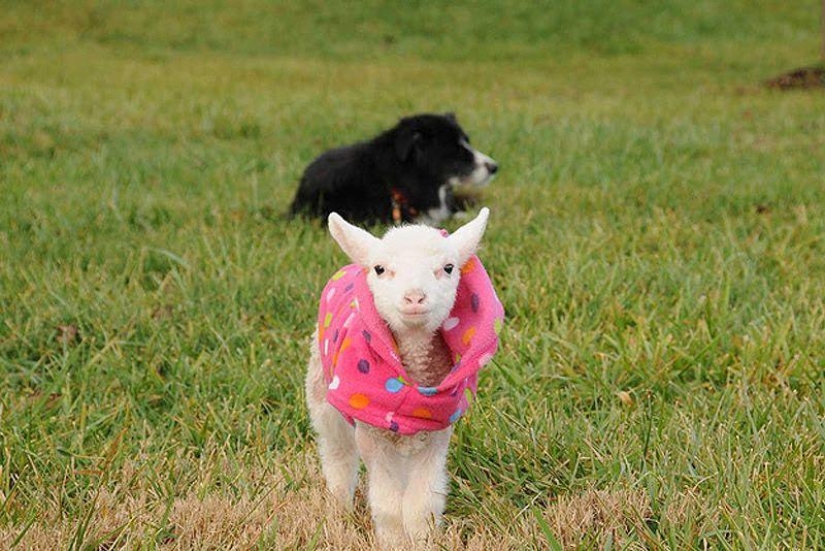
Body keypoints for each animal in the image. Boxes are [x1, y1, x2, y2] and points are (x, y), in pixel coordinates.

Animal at [304, 207, 504, 547]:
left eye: (448, 268)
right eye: (380, 269)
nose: (414, 298)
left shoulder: (436, 434)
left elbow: (423, 501)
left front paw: (423, 540)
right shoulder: (373, 434)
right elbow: (387, 503)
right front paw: (393, 542)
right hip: (320, 391)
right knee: (337, 453)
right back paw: (339, 509)